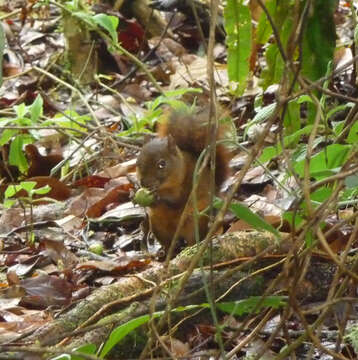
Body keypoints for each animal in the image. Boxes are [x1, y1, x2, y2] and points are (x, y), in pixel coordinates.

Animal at [136, 106, 231, 250]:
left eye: (162, 164)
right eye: (138, 162)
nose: (144, 183)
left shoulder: (188, 185)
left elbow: (177, 201)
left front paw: (158, 197)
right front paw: (133, 194)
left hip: (196, 222)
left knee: (193, 239)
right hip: (158, 227)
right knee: (169, 243)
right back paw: (165, 250)